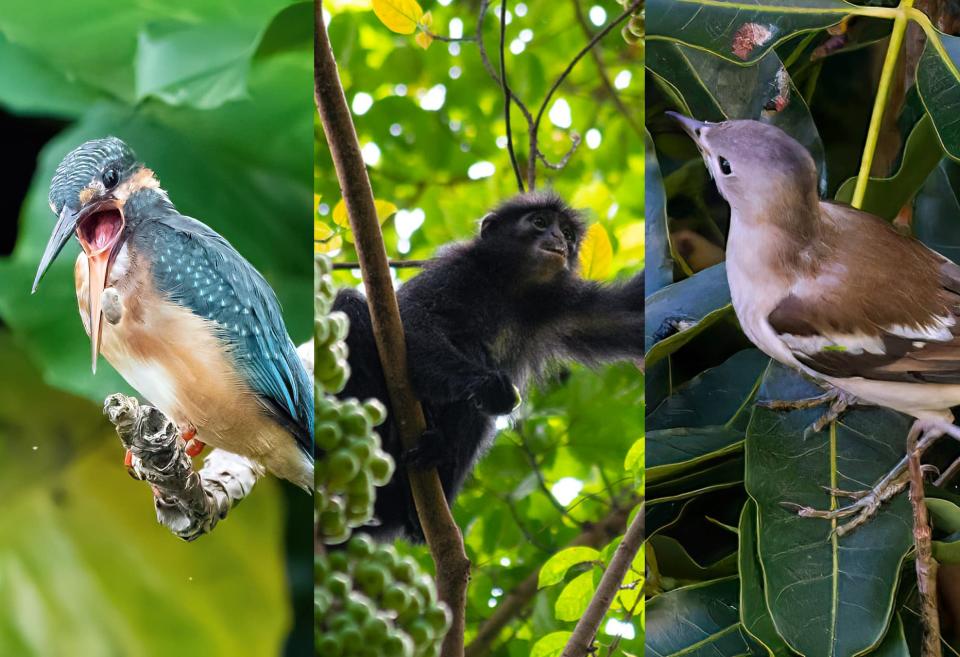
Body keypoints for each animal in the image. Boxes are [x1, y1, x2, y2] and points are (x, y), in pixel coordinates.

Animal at [332, 190, 644, 540]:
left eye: (567, 234)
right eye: (539, 222)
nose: (558, 240)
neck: (509, 287)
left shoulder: (562, 303)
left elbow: (633, 312)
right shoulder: (455, 270)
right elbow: (411, 321)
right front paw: (487, 386)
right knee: (350, 305)